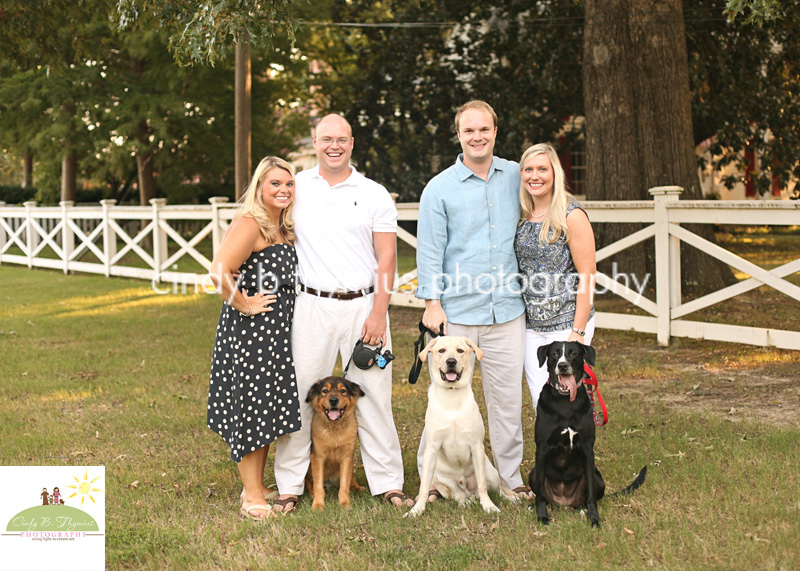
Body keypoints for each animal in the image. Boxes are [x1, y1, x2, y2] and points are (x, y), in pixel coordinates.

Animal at [304, 378, 364, 512]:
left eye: (343, 390)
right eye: (325, 391)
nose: (333, 400)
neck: (334, 428)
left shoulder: (347, 457)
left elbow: (345, 484)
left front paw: (345, 504)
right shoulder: (318, 457)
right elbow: (318, 485)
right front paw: (318, 505)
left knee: (351, 480)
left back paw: (360, 489)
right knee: (309, 482)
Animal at [406, 336, 520, 520]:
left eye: (460, 350)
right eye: (442, 350)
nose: (451, 361)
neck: (452, 395)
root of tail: (469, 492)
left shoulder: (476, 446)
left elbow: (482, 485)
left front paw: (489, 507)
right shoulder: (432, 447)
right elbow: (423, 488)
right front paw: (416, 510)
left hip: (490, 472)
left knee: (498, 490)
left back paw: (511, 499)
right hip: (440, 479)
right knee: (456, 495)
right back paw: (464, 502)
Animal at [528, 342, 648, 528]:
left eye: (573, 353)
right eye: (555, 353)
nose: (562, 366)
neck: (565, 402)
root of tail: (564, 502)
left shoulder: (587, 449)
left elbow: (591, 494)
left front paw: (594, 518)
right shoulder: (541, 449)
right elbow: (540, 494)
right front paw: (542, 516)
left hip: (598, 477)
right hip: (532, 473)